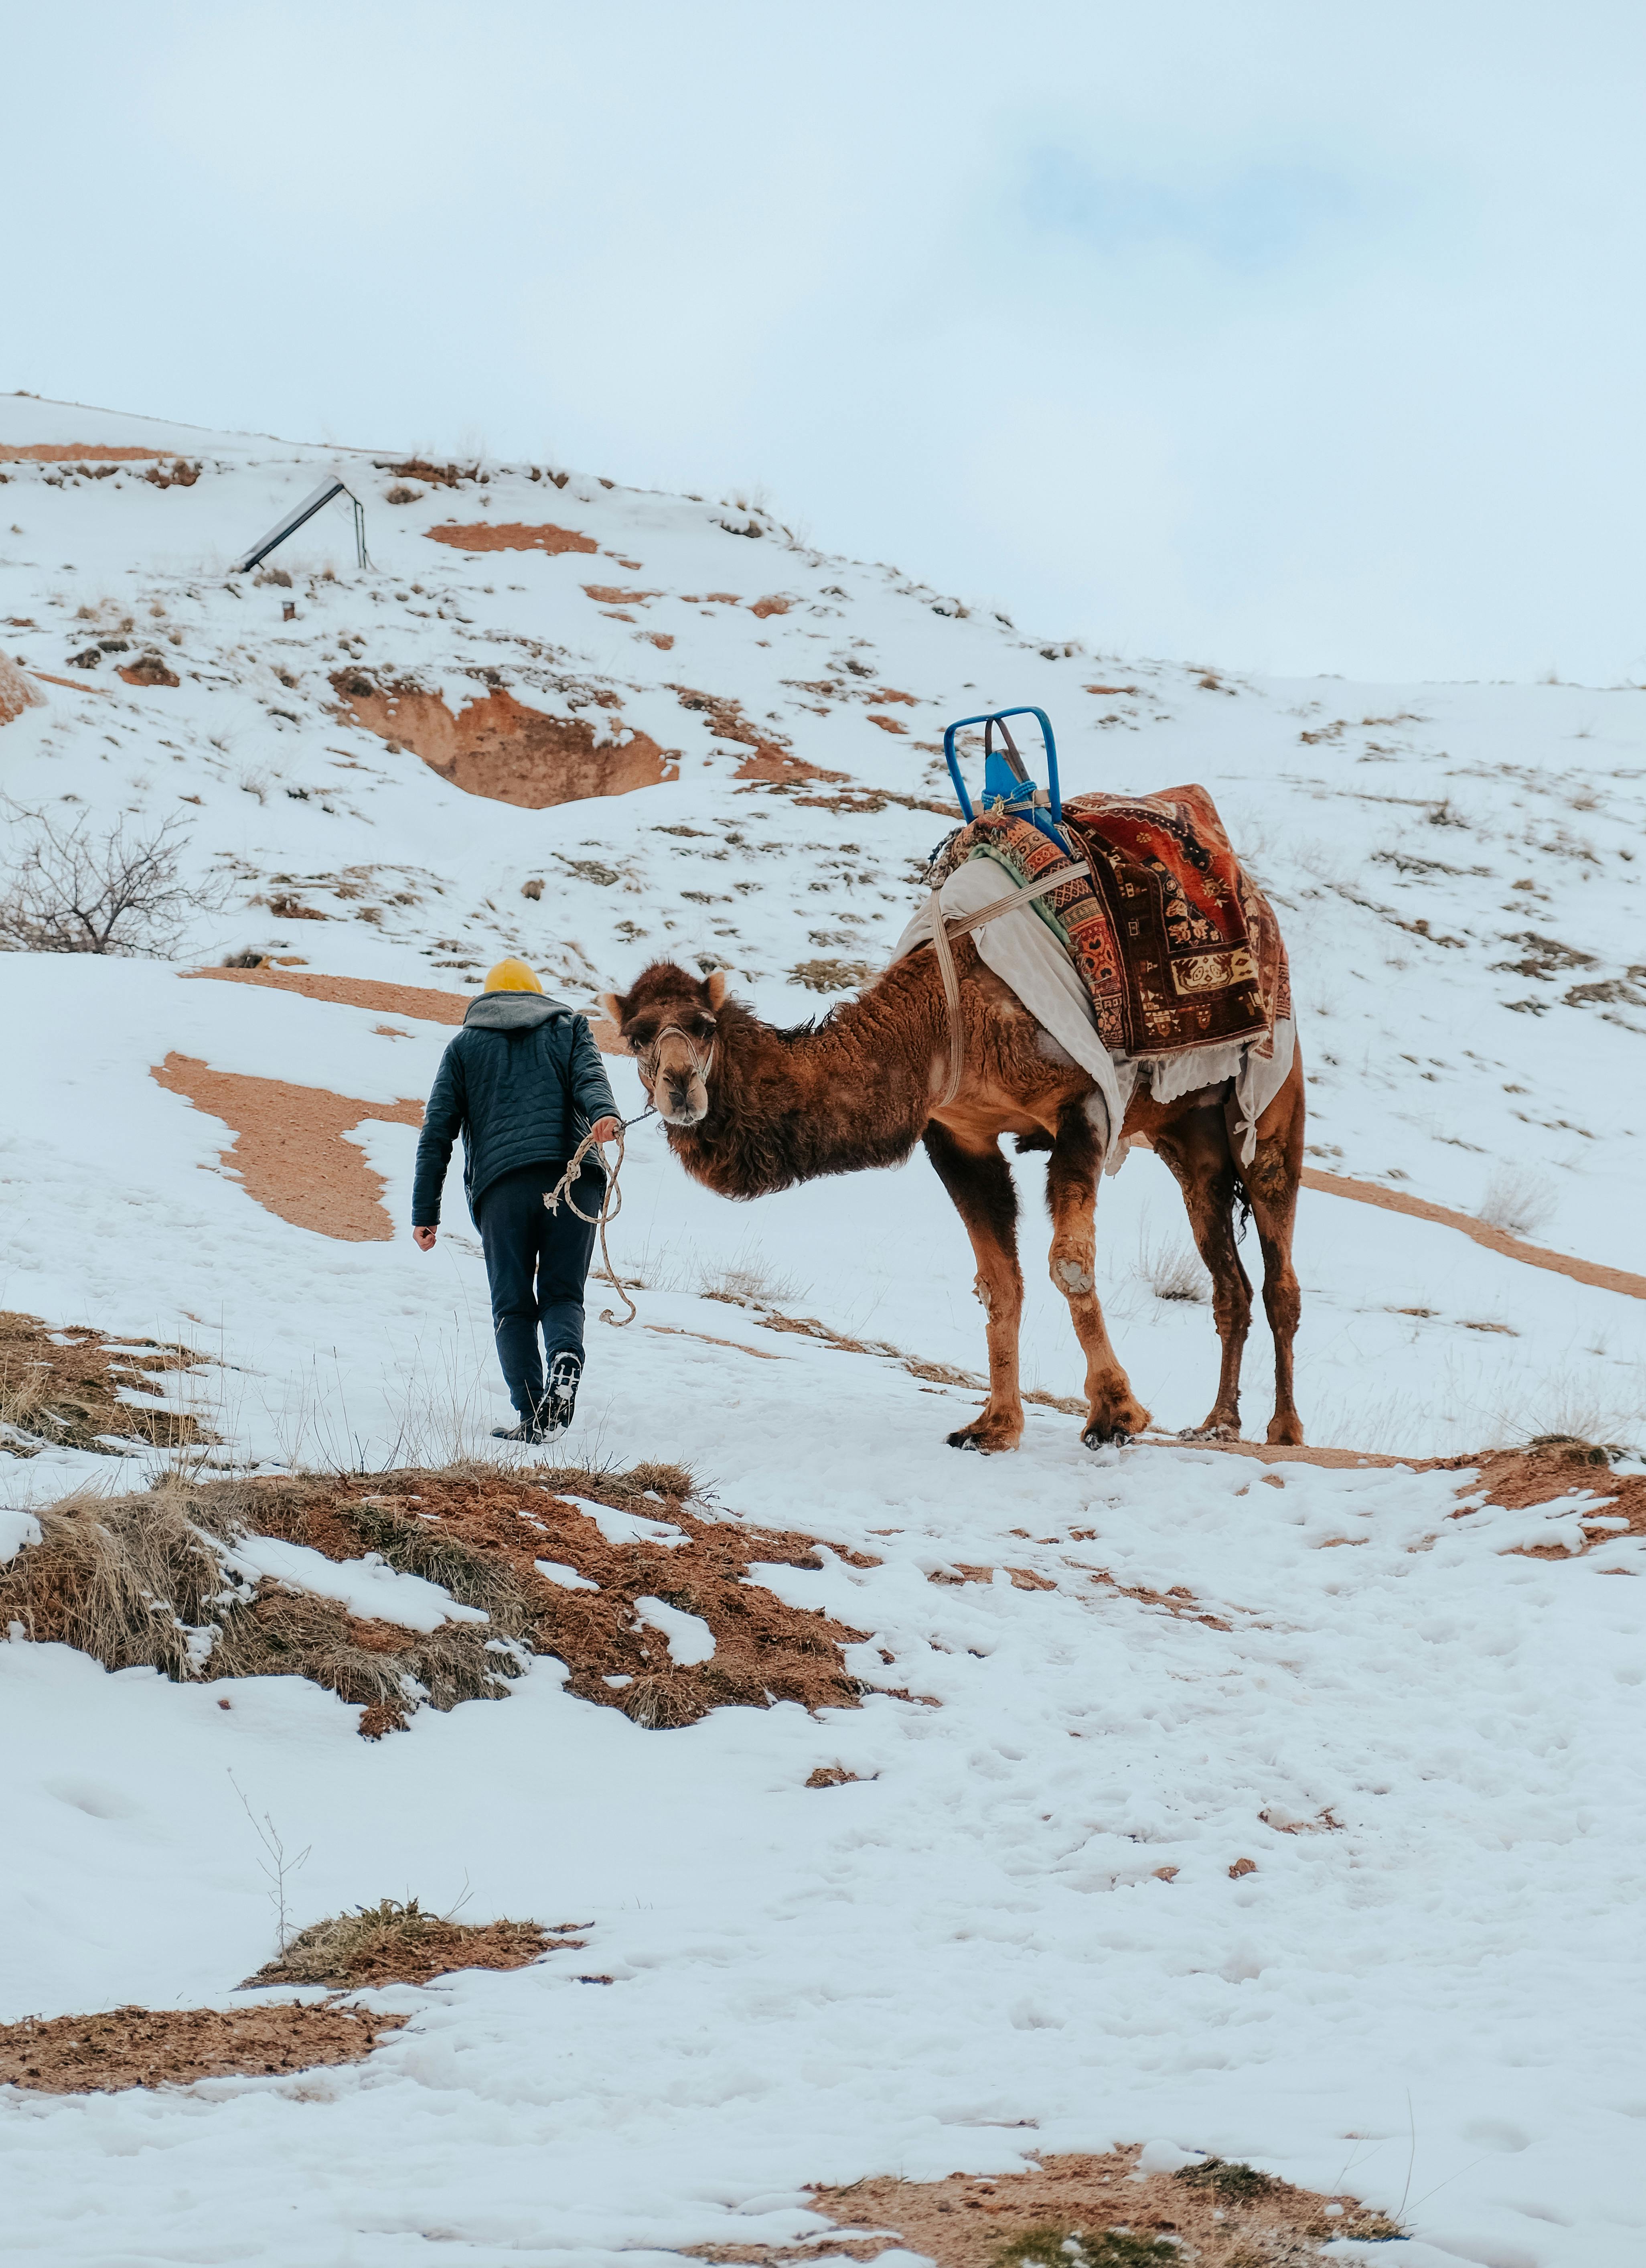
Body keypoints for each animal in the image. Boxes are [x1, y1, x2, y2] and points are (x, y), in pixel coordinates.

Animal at [601, 945, 1305, 1452]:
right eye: (636, 1036)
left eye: (703, 1026)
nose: (680, 1086)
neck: (934, 1031)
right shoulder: (957, 1135)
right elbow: (999, 1282)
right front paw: (993, 1427)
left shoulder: (1083, 1101)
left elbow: (1068, 1265)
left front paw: (1115, 1415)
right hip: (1189, 1136)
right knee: (1230, 1281)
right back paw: (1218, 1423)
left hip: (1271, 1103)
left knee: (1279, 1275)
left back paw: (1284, 1430)